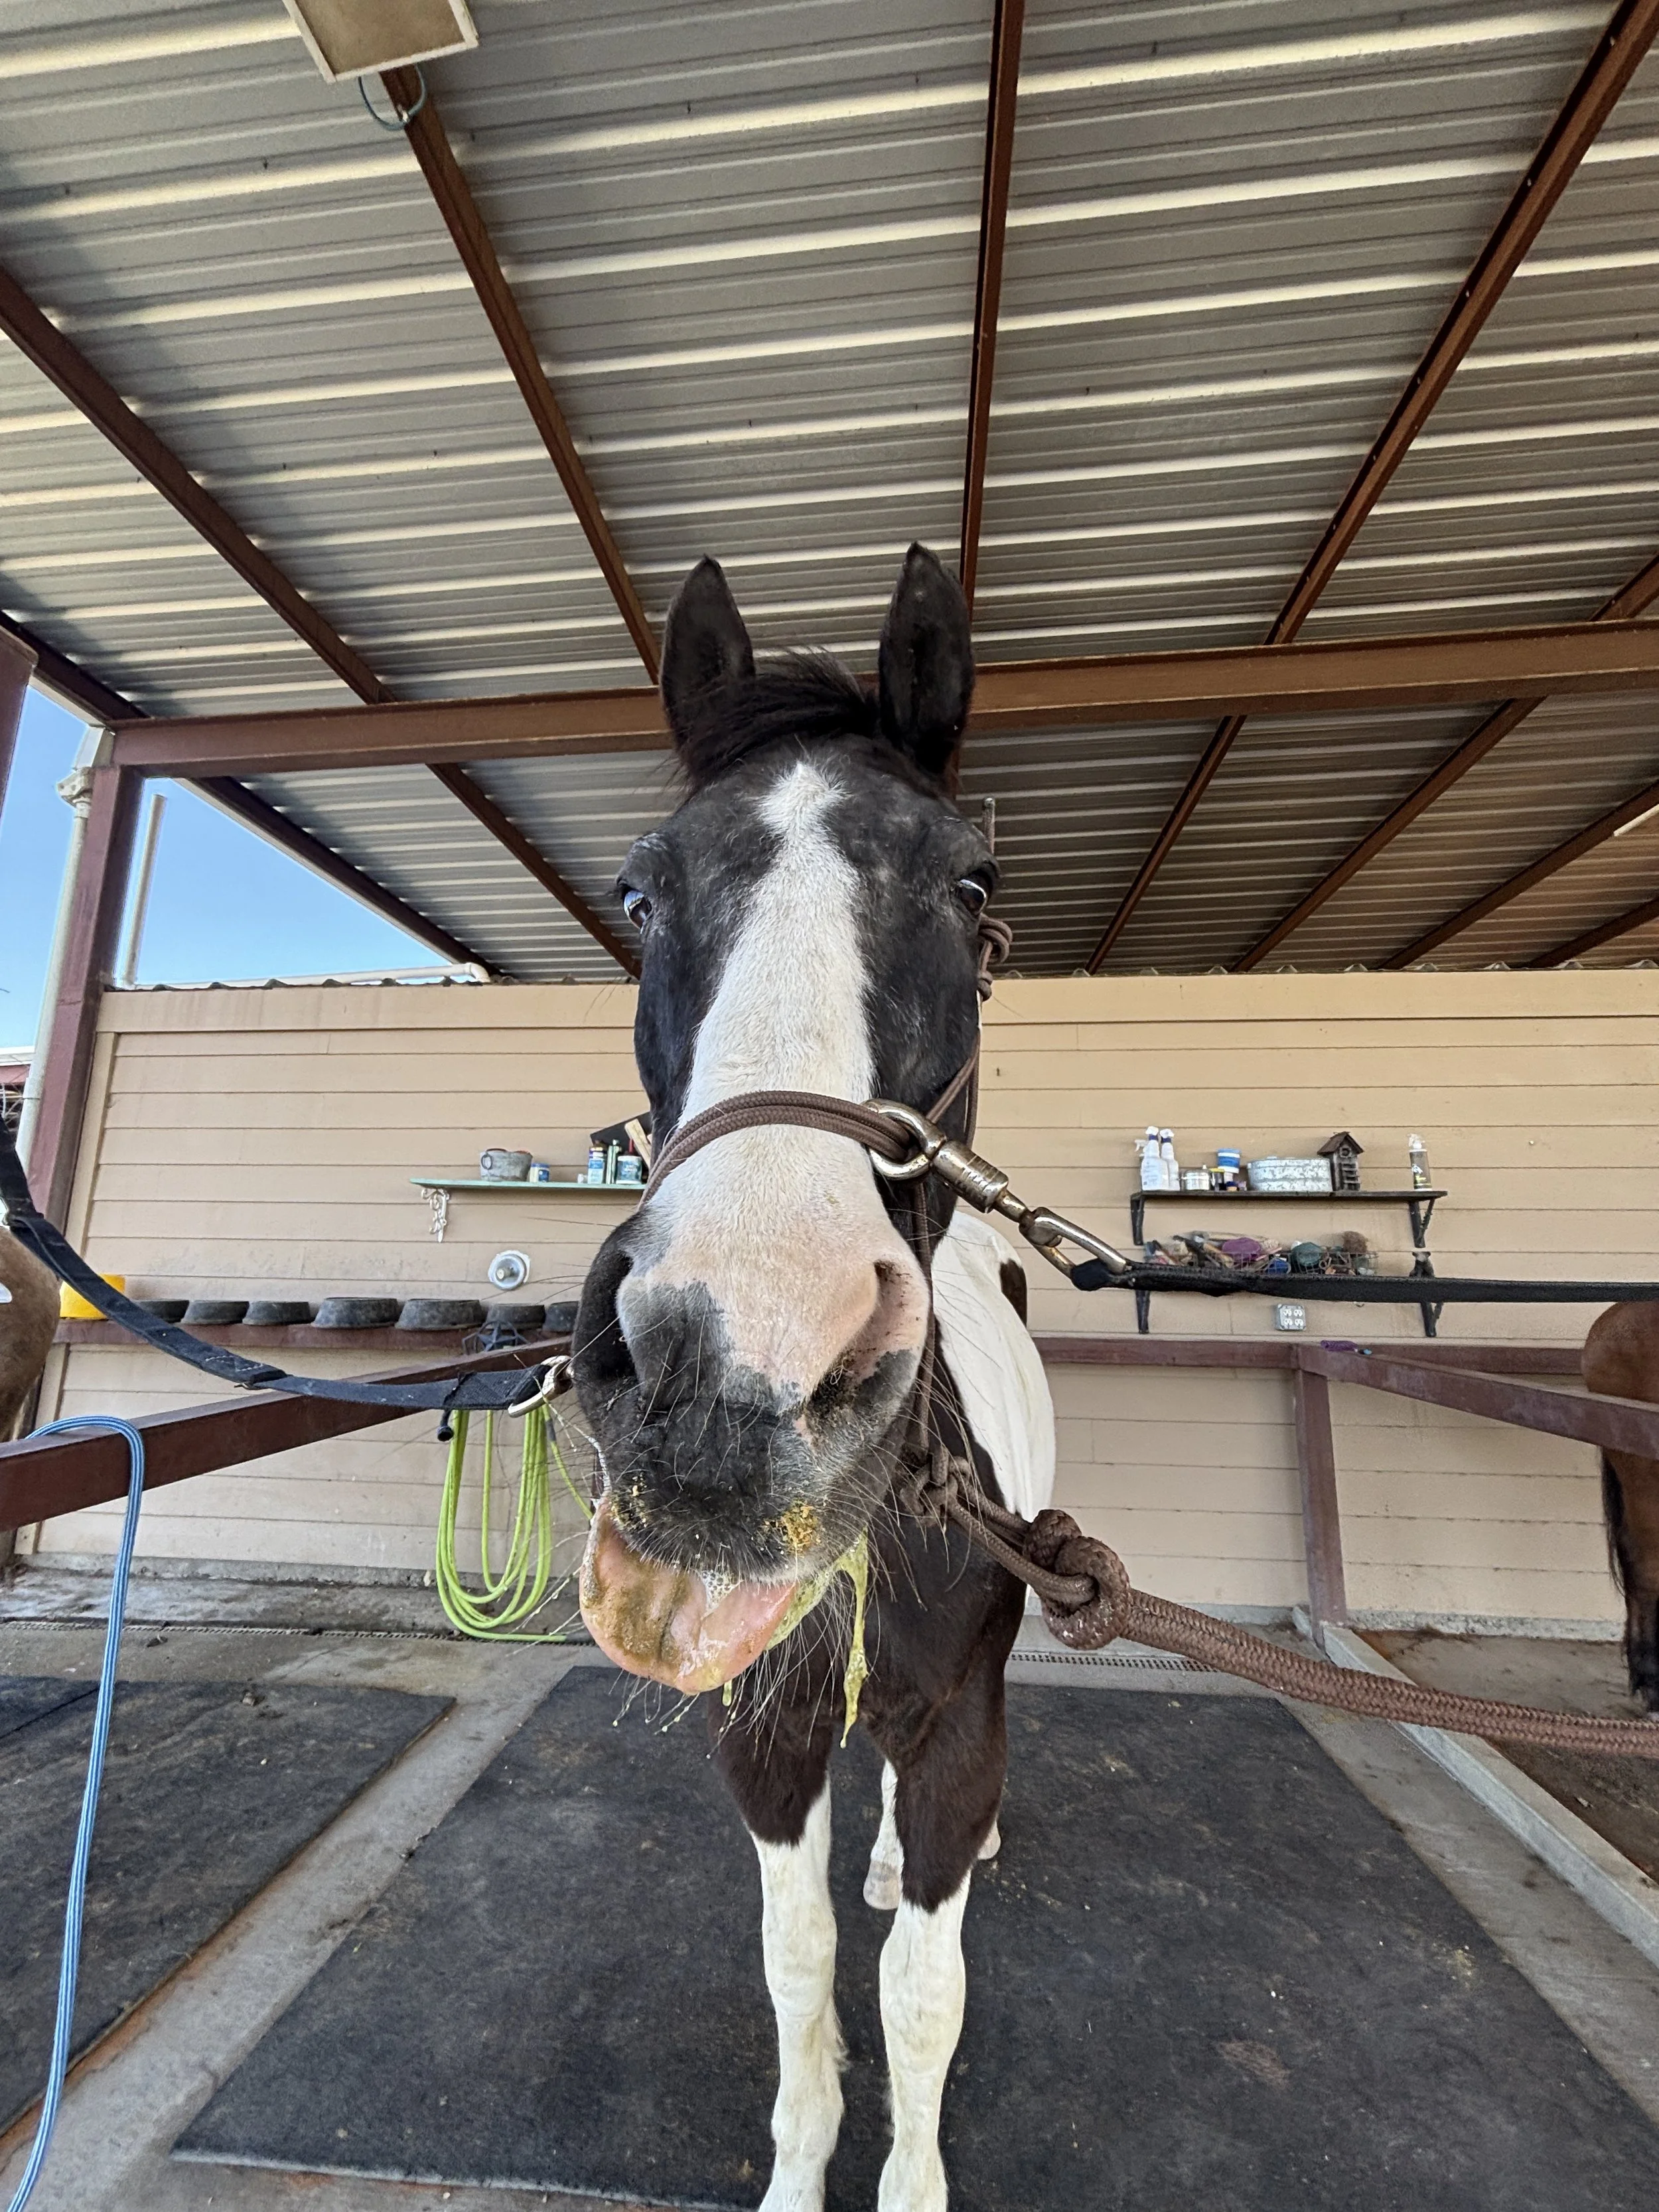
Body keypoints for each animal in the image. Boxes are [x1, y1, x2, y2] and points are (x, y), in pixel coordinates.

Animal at [572, 543, 1054, 2211]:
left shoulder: (957, 1718)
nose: (737, 1368)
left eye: (972, 887)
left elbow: (920, 1992)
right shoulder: (762, 1728)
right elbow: (797, 1961)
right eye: (640, 889)